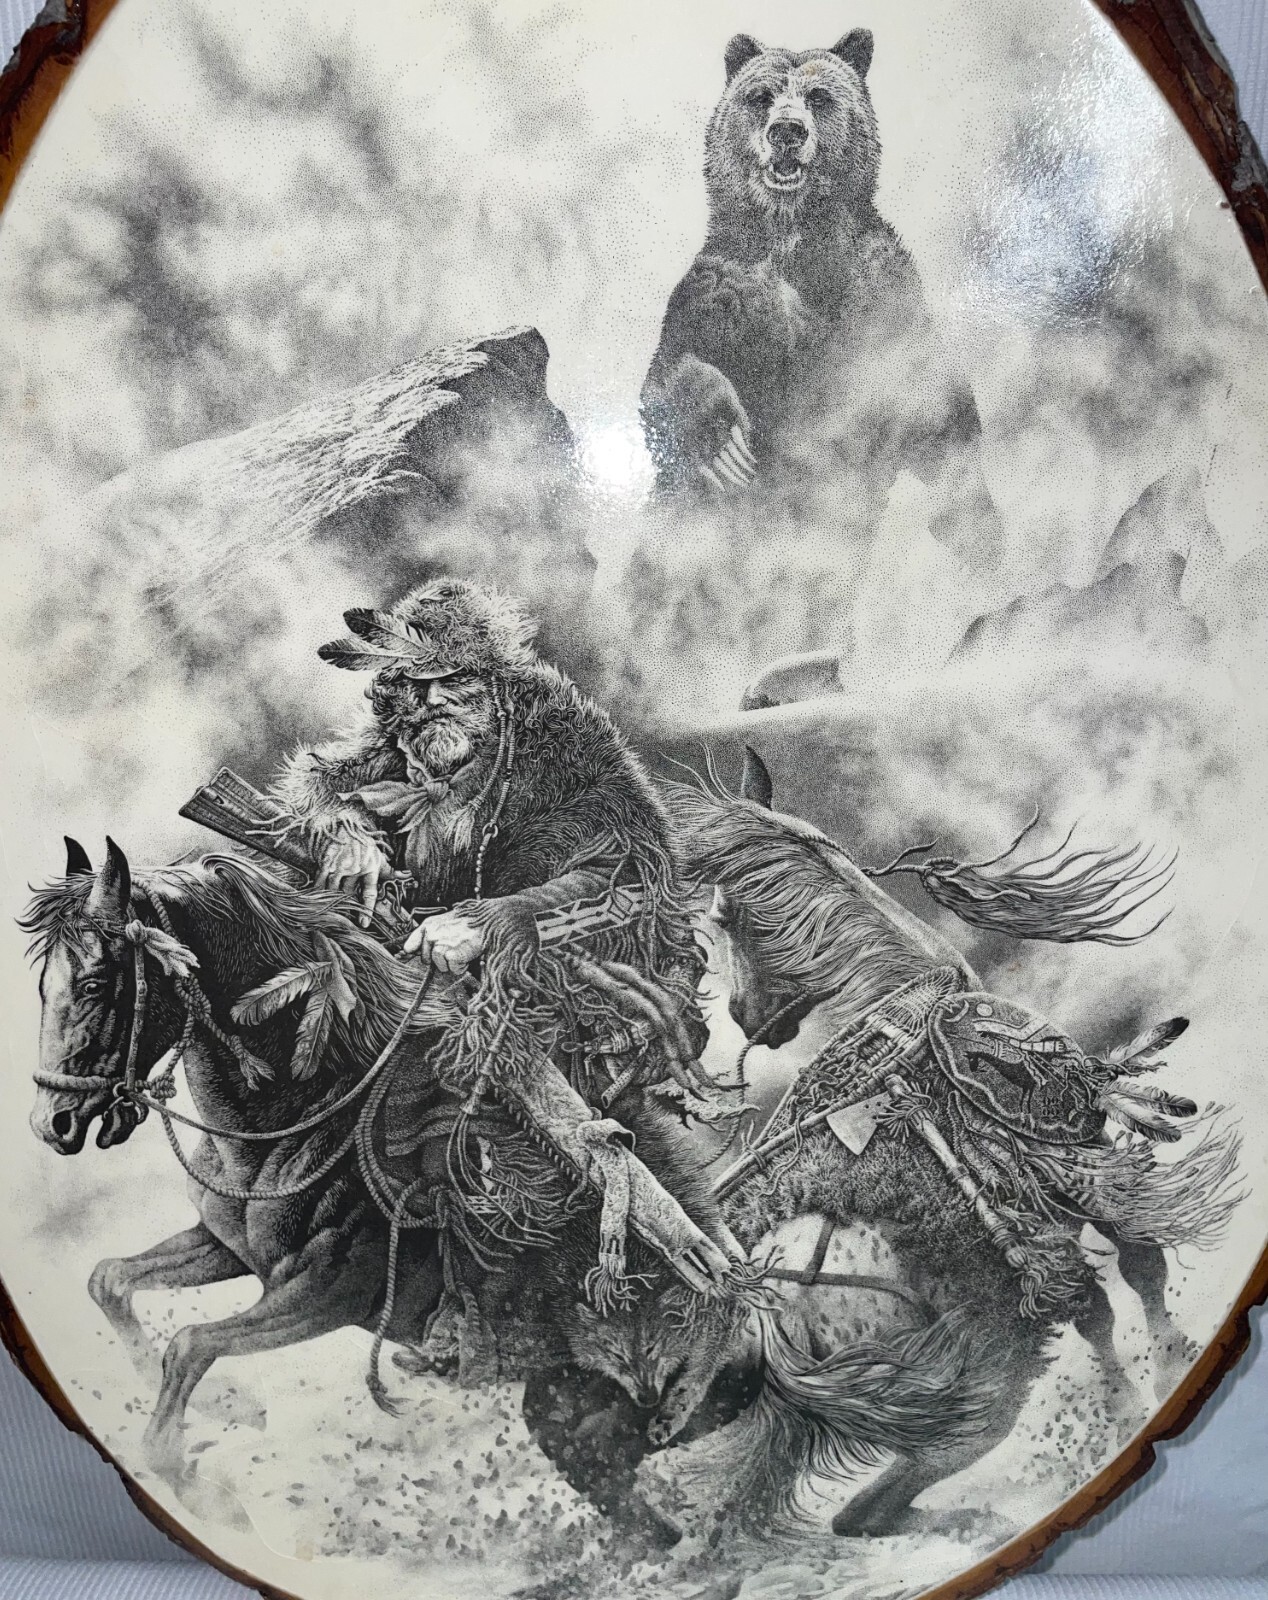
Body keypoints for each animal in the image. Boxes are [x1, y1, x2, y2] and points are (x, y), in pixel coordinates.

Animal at [663, 754, 1241, 1536]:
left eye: (723, 918)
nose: (746, 1018)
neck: (915, 1014)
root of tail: (778, 1318)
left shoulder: (1078, 1172)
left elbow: (1136, 1272)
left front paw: (1166, 1366)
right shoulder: (1055, 1200)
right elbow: (1102, 1297)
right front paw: (1136, 1397)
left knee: (850, 1507)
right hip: (979, 1372)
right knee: (869, 1507)